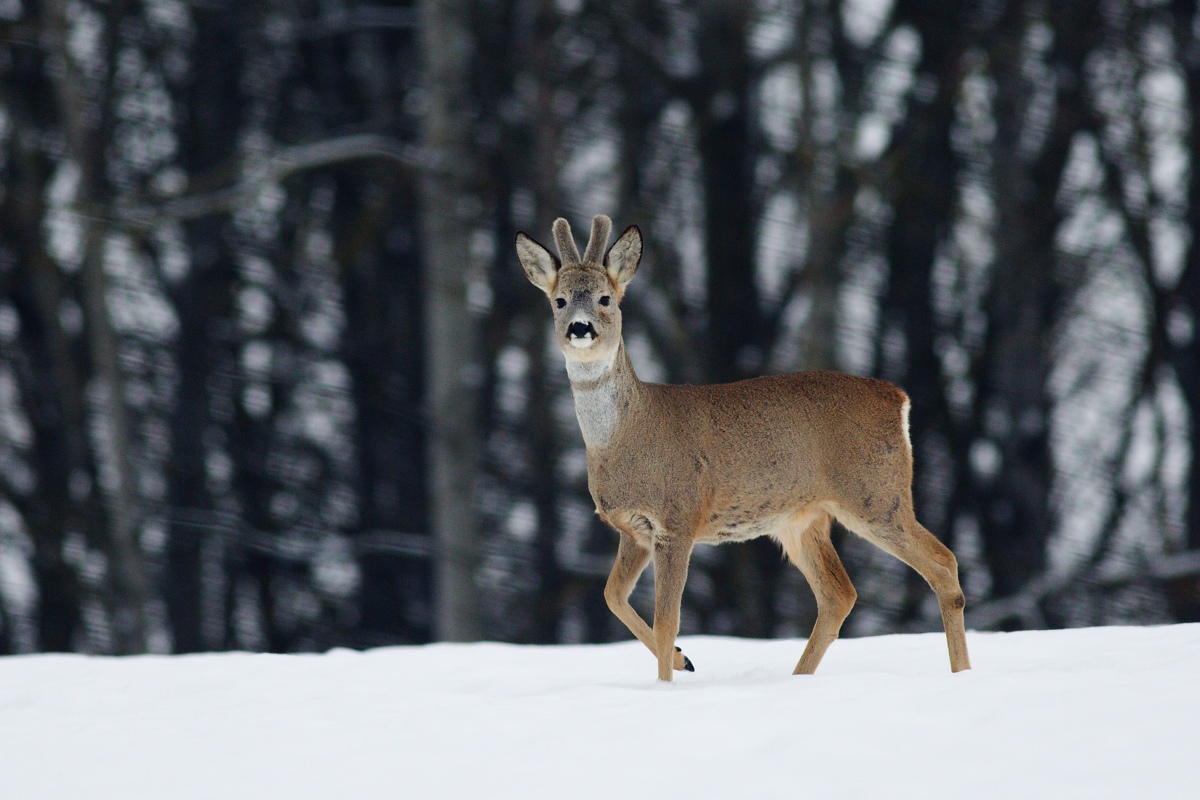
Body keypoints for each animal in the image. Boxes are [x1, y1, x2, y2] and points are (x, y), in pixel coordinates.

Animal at [515, 215, 972, 682]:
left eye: (605, 298)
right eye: (559, 301)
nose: (580, 328)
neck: (626, 437)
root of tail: (897, 398)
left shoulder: (678, 519)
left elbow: (667, 620)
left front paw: (667, 680)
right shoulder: (634, 529)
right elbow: (613, 597)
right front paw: (684, 660)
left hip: (875, 494)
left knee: (943, 564)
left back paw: (962, 674)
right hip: (802, 518)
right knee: (839, 594)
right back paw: (798, 678)